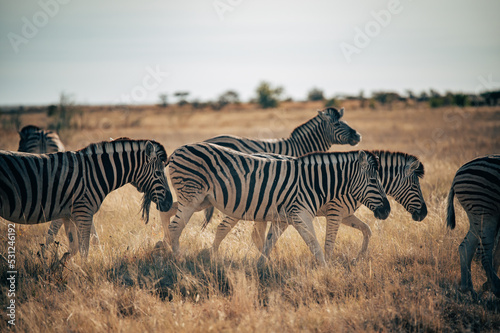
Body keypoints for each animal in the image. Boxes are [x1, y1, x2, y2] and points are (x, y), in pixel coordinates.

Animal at [0, 136, 172, 258]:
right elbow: (84, 249)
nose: (170, 203)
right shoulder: (83, 211)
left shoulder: (70, 214)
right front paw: (81, 274)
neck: (94, 173)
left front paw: (57, 267)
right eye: (158, 173)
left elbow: (75, 247)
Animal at [166, 141, 388, 264]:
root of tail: (177, 150)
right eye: (373, 180)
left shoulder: (284, 218)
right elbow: (317, 245)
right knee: (175, 227)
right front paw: (326, 271)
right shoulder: (302, 214)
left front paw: (261, 268)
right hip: (191, 198)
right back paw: (178, 259)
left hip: (200, 200)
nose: (386, 211)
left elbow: (268, 244)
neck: (315, 182)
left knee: (168, 210)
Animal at [246, 150, 426, 260]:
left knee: (258, 236)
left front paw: (358, 259)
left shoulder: (346, 214)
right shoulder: (335, 212)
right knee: (257, 236)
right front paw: (329, 265)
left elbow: (367, 230)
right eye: (415, 186)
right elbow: (329, 243)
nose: (424, 213)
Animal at [446, 154, 500, 296]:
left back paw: (469, 288)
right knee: (485, 254)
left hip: (475, 214)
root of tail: (457, 174)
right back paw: (495, 287)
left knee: (466, 247)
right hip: (485, 212)